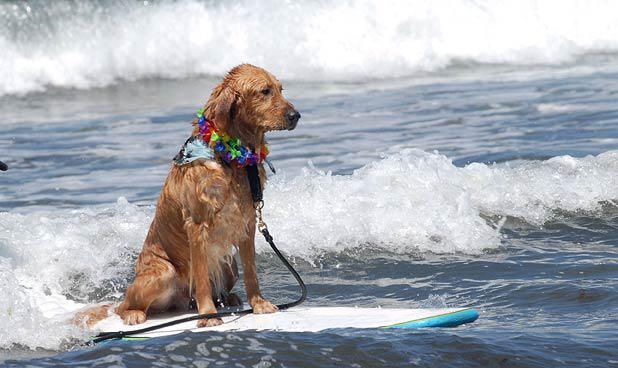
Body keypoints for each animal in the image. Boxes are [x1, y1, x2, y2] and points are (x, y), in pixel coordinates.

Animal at [77, 64, 298, 328]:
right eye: (264, 91)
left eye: (280, 89)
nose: (296, 116)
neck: (230, 159)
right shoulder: (197, 225)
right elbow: (201, 277)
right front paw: (209, 315)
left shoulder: (247, 222)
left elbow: (252, 271)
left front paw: (258, 303)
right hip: (164, 272)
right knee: (125, 306)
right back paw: (134, 313)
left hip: (230, 266)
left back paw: (229, 298)